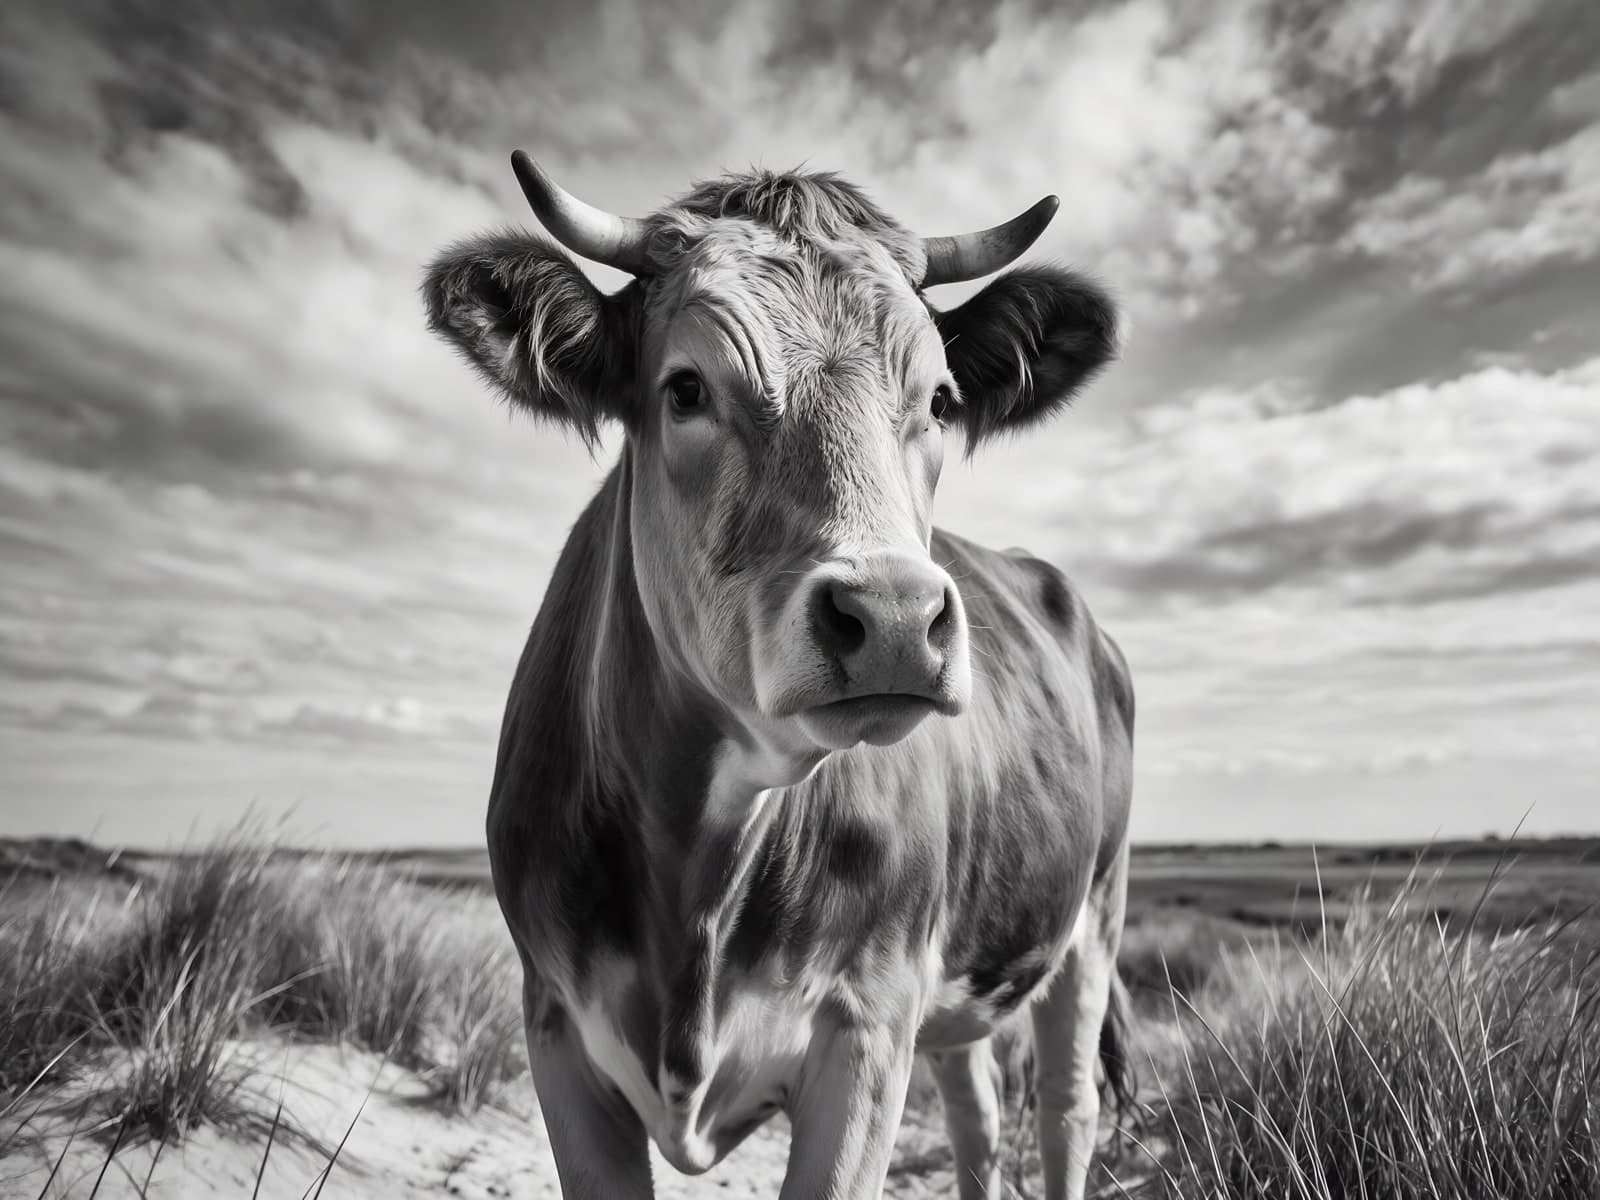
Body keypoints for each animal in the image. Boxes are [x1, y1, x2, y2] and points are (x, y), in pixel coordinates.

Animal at [423, 152, 1135, 1200]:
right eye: (685, 388)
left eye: (940, 401)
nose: (895, 618)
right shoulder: (554, 1022)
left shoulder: (868, 1027)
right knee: (976, 1111)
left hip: (1093, 917)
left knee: (1064, 1110)